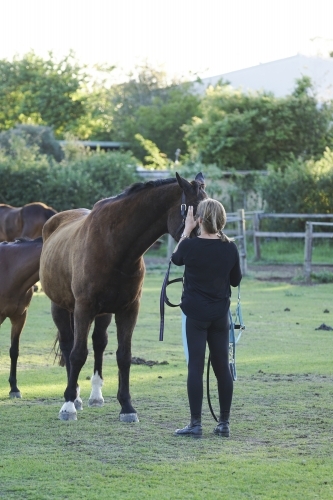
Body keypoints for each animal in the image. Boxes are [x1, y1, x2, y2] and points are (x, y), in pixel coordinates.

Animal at [39, 172, 205, 422]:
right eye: (196, 212)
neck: (114, 246)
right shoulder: (83, 308)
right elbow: (78, 354)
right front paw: (67, 406)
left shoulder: (128, 310)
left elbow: (124, 356)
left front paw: (127, 407)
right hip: (60, 307)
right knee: (69, 346)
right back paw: (74, 398)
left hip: (103, 313)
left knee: (99, 343)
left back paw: (95, 396)